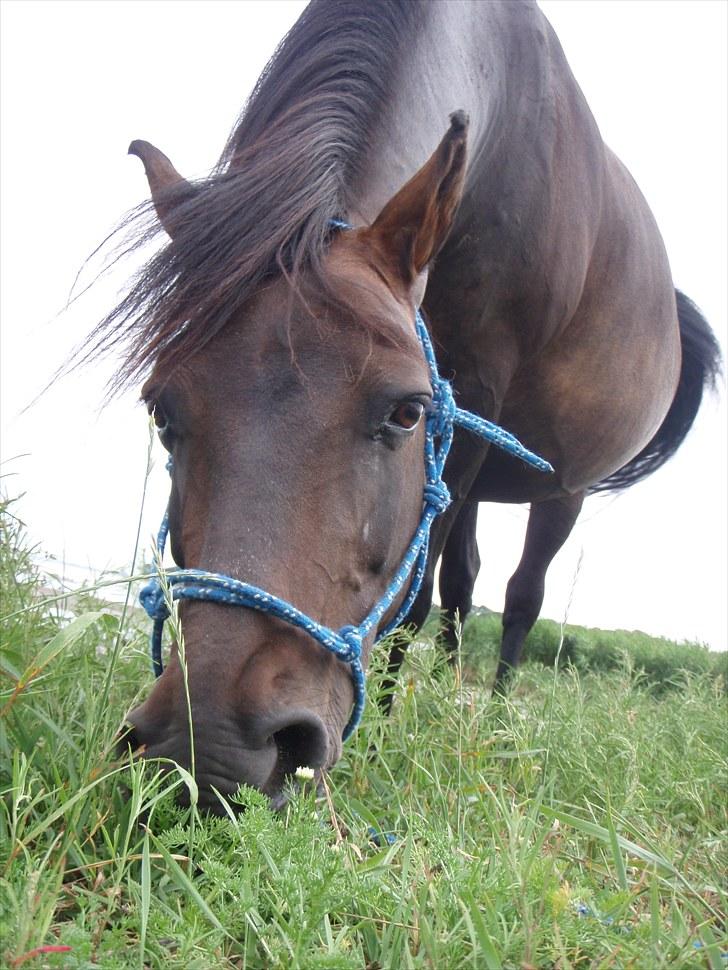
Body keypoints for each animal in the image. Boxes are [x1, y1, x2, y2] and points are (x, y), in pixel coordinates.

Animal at [95, 1, 716, 800]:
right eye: (162, 411)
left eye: (405, 410)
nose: (211, 748)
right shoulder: (458, 432)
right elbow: (443, 586)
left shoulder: (473, 394)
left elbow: (416, 600)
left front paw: (386, 737)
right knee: (465, 584)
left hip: (561, 488)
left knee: (519, 596)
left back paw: (494, 709)